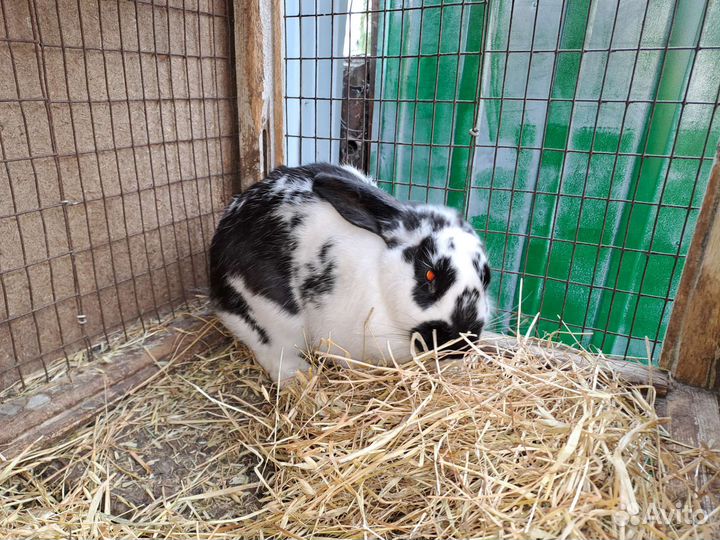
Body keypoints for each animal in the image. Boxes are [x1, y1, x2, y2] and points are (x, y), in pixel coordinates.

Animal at [209, 163, 492, 385]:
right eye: (430, 276)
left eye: (486, 277)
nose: (459, 346)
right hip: (271, 316)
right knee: (273, 350)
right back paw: (300, 379)